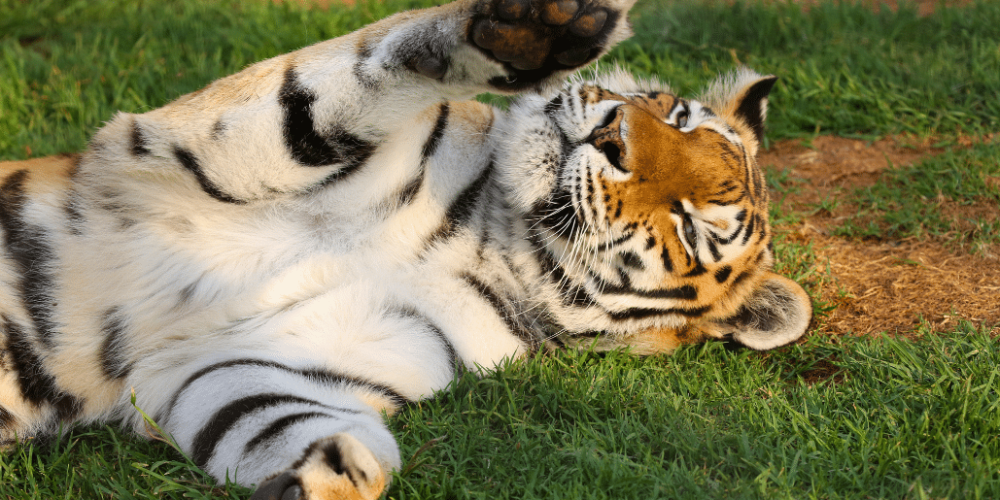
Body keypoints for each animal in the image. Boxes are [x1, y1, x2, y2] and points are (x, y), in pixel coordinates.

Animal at [0, 0, 812, 497]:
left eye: (690, 225)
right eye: (676, 117)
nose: (612, 134)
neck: (486, 238)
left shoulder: (224, 362)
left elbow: (268, 416)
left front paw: (329, 473)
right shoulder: (178, 145)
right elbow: (357, 73)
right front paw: (536, 32)